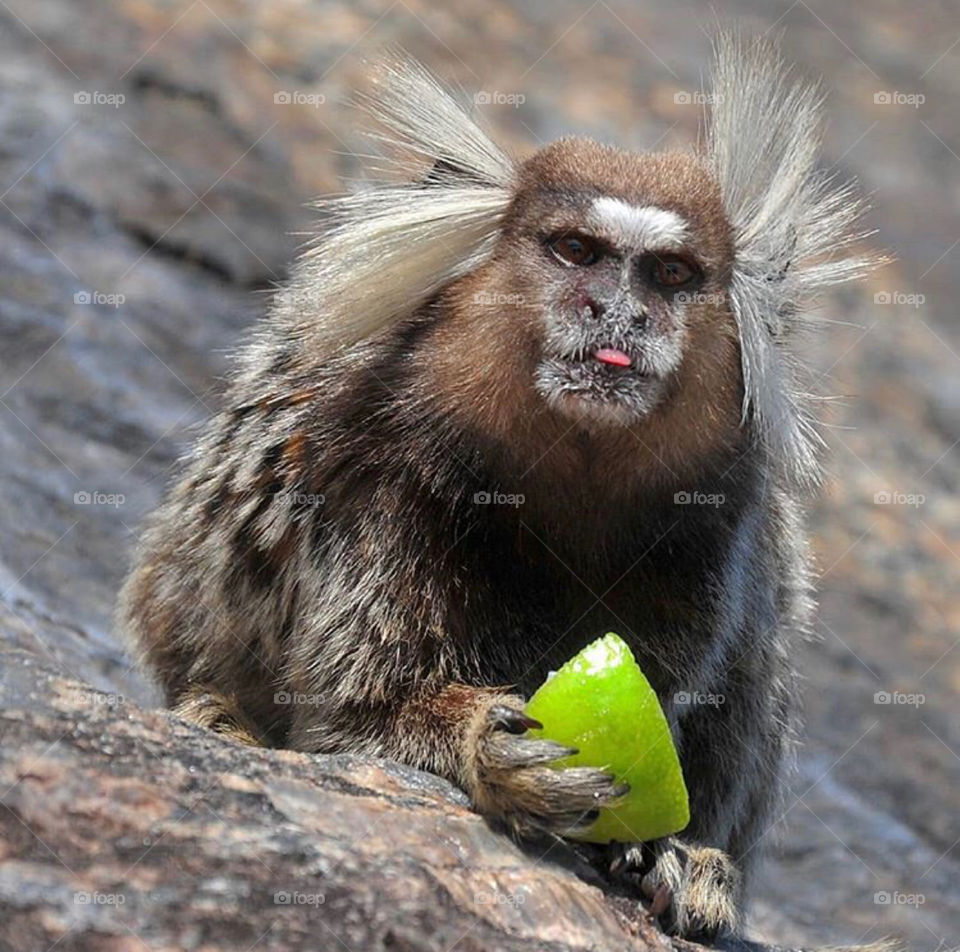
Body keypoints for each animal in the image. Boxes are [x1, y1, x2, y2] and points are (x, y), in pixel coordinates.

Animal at [118, 35, 876, 936]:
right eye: (578, 252)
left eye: (669, 274)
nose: (619, 317)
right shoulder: (387, 485)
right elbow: (351, 716)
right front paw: (489, 751)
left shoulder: (713, 524)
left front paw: (668, 852)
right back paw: (221, 716)